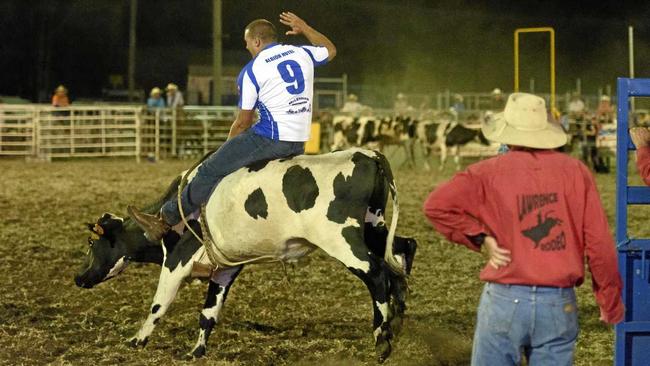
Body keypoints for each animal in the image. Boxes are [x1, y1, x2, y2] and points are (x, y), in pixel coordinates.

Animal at [74, 149, 416, 364]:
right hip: (373, 225)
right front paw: (196, 351)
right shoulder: (224, 268)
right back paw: (397, 319)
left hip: (341, 238)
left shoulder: (177, 261)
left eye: (91, 243)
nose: (78, 277)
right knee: (402, 252)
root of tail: (367, 155)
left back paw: (381, 339)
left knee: (377, 273)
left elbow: (159, 304)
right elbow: (209, 311)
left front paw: (137, 340)